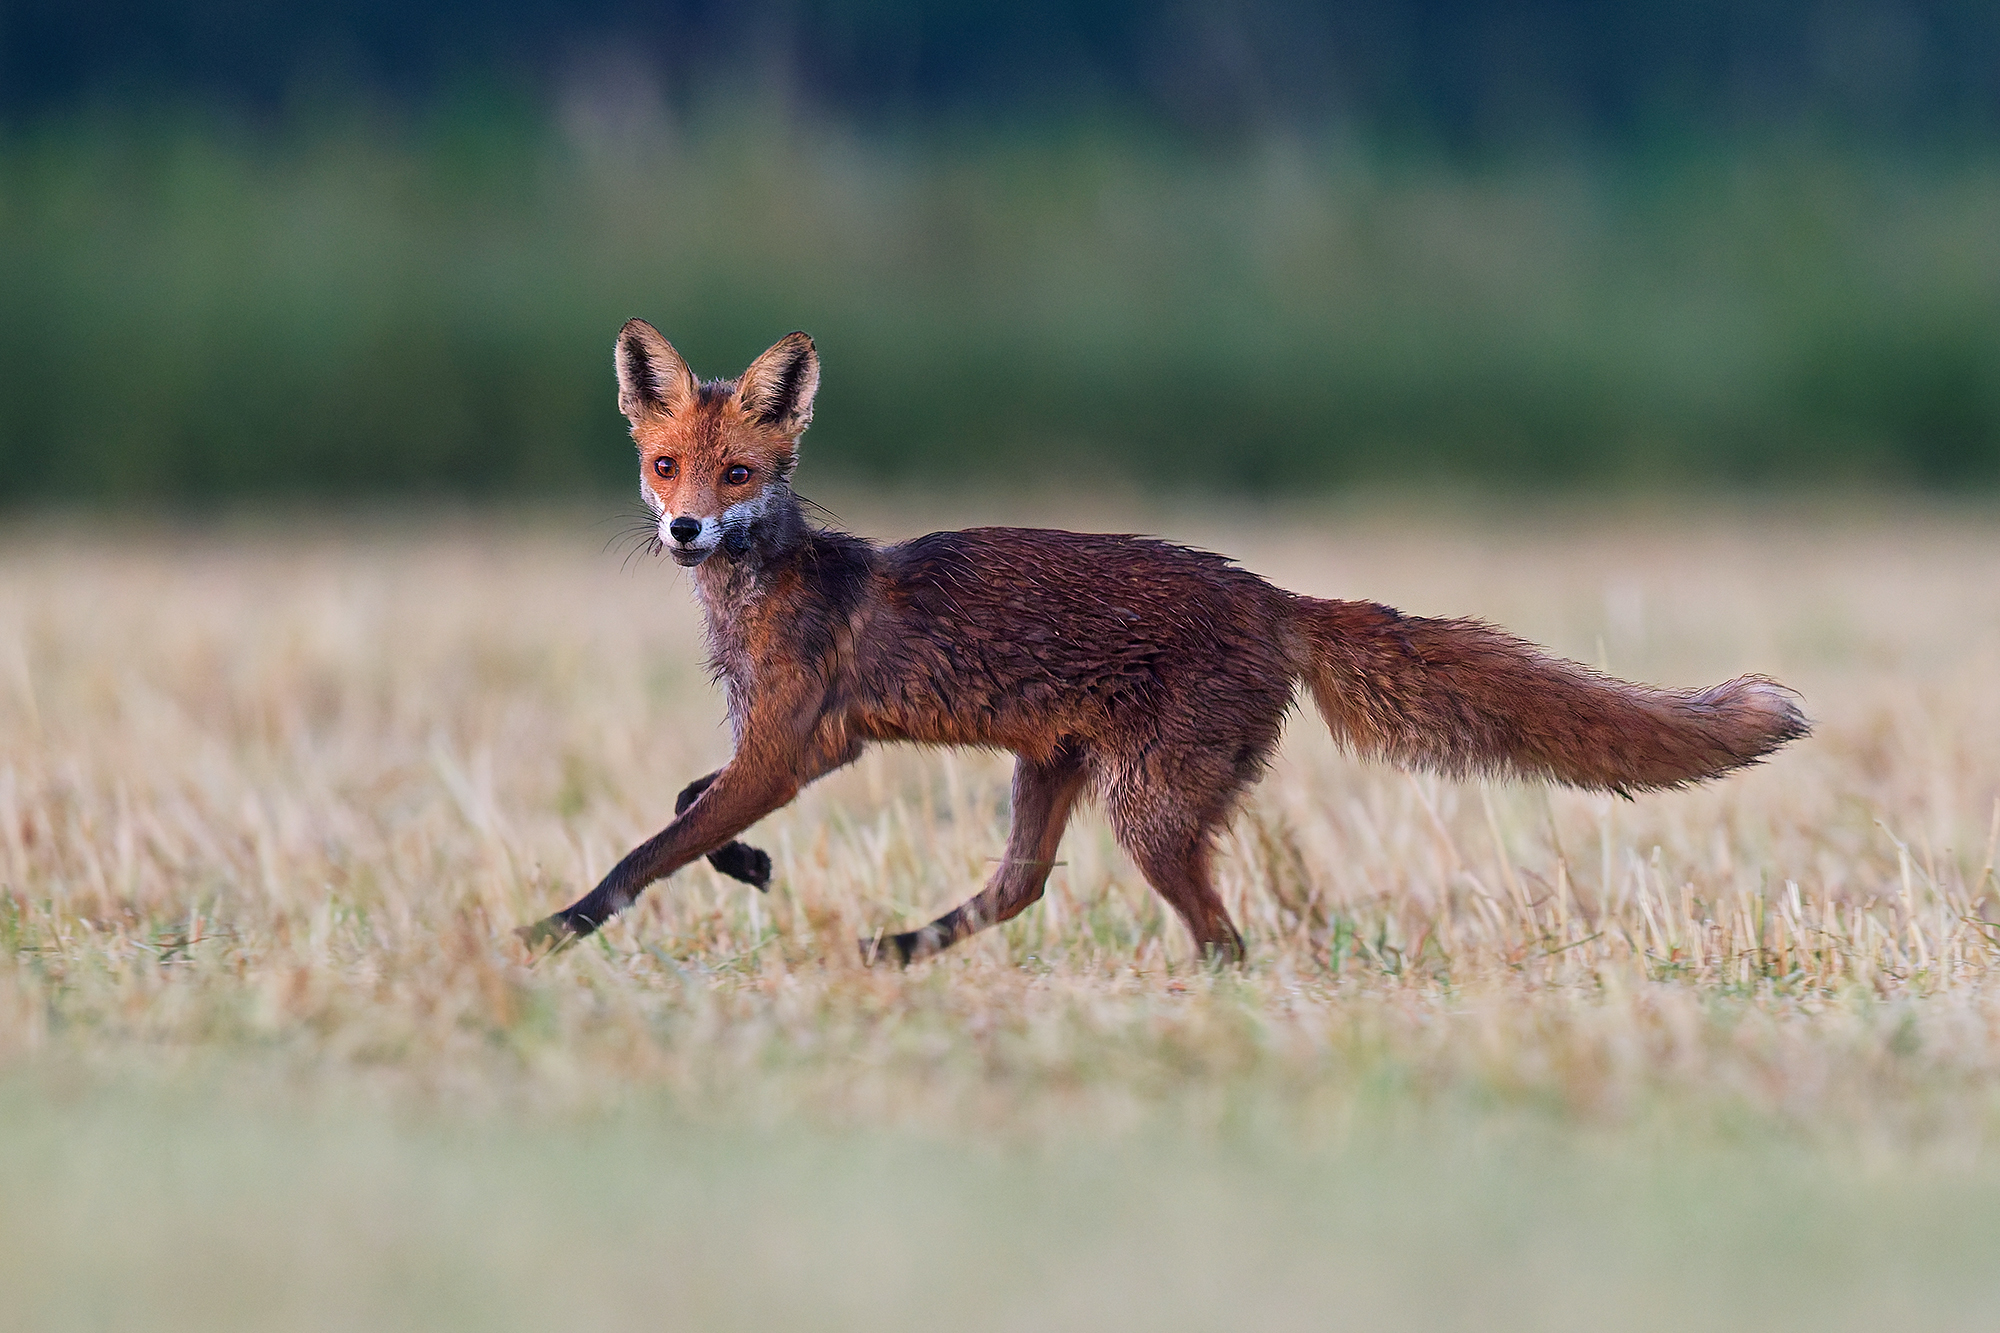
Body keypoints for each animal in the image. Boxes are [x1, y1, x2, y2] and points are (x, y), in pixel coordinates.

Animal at [518, 320, 1810, 963]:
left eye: (738, 473)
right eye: (663, 465)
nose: (685, 528)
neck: (770, 585)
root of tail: (1268, 591)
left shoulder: (789, 748)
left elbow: (644, 852)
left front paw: (553, 932)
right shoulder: (789, 747)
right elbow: (687, 806)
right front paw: (744, 868)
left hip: (1143, 809)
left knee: (1219, 935)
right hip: (1054, 771)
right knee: (1019, 888)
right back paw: (898, 949)